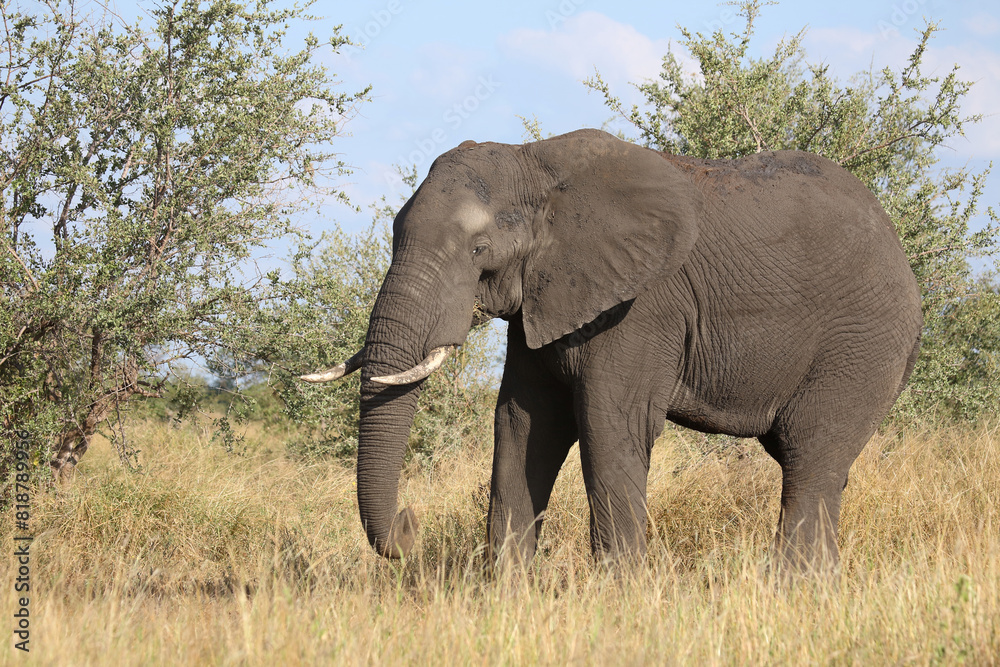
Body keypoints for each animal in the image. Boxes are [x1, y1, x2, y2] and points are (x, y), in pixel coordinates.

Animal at [302, 128, 920, 572]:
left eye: (479, 250)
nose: (411, 523)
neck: (537, 166)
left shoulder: (639, 307)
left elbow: (608, 424)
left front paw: (619, 598)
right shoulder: (545, 298)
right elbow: (523, 425)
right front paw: (506, 596)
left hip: (862, 342)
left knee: (811, 461)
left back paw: (798, 588)